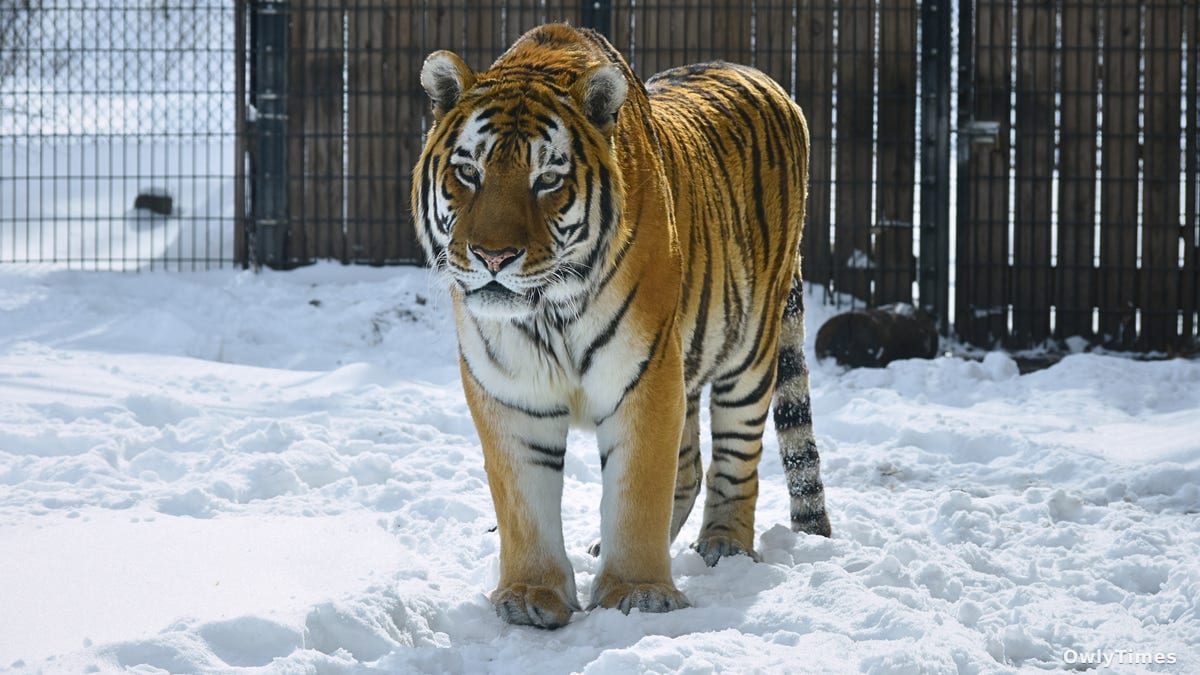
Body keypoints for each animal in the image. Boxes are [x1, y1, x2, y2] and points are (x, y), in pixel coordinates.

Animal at [412, 23, 830, 629]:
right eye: (469, 172)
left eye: (548, 179)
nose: (493, 257)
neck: (547, 310)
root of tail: (769, 81)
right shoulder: (511, 392)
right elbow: (524, 502)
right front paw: (530, 596)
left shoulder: (645, 375)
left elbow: (638, 491)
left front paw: (638, 593)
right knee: (690, 465)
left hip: (751, 353)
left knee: (736, 458)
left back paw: (725, 546)